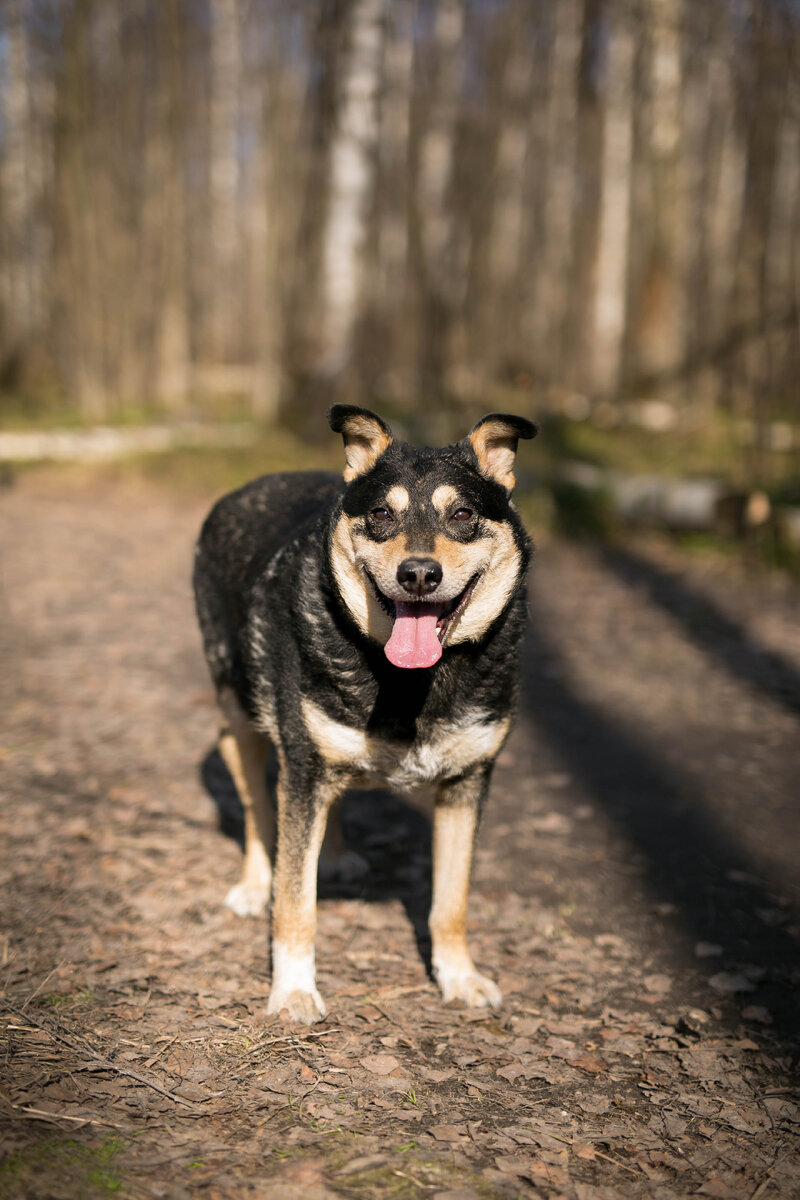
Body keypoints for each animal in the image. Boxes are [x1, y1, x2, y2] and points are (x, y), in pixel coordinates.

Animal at [194, 408, 537, 1027]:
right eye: (381, 514)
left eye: (463, 514)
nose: (419, 574)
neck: (412, 681)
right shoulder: (303, 766)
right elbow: (296, 901)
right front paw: (293, 991)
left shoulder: (467, 781)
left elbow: (451, 901)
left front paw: (459, 977)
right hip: (240, 709)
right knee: (254, 795)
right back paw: (254, 884)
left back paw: (336, 854)